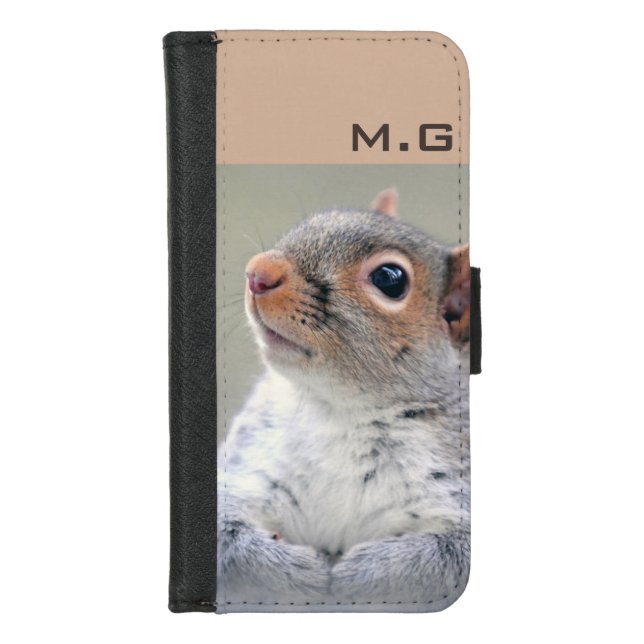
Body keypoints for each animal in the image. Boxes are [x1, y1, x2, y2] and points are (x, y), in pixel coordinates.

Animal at [217, 189, 471, 611]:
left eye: (389, 278)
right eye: (312, 221)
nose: (258, 272)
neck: (340, 410)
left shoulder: (457, 493)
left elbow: (444, 560)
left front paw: (365, 576)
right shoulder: (246, 468)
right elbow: (227, 539)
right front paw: (298, 574)